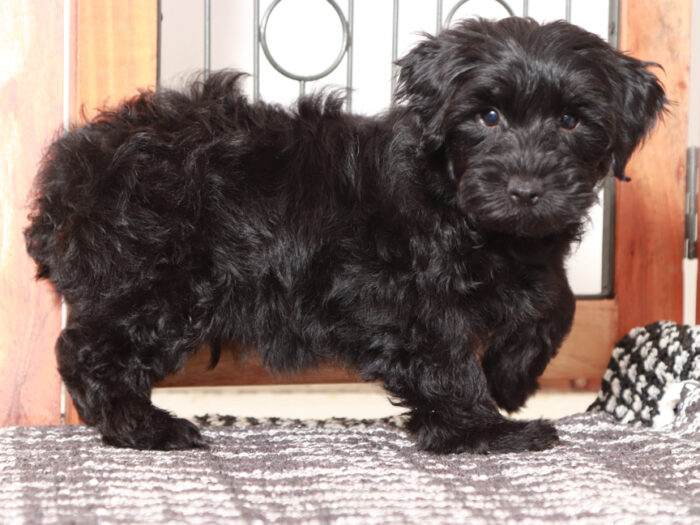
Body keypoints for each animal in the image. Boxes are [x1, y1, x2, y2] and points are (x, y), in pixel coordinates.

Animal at [26, 16, 668, 450]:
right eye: (488, 117)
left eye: (571, 121)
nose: (527, 190)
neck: (454, 196)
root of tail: (73, 169)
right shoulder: (407, 295)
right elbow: (446, 356)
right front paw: (481, 429)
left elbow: (555, 300)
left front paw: (511, 377)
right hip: (160, 282)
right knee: (84, 351)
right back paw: (144, 426)